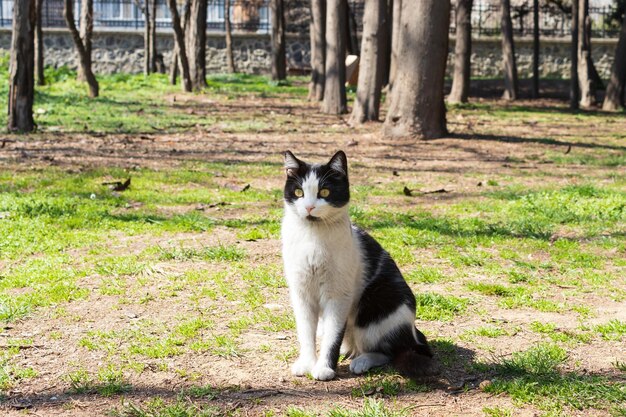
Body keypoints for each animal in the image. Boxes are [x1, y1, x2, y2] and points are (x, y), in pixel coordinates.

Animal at [280, 150, 432, 380]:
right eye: (298, 192)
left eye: (324, 191)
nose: (309, 207)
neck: (312, 237)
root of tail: (414, 333)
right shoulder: (301, 292)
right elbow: (305, 331)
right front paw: (307, 363)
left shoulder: (338, 295)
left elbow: (333, 336)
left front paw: (324, 368)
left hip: (372, 312)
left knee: (387, 351)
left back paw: (362, 361)